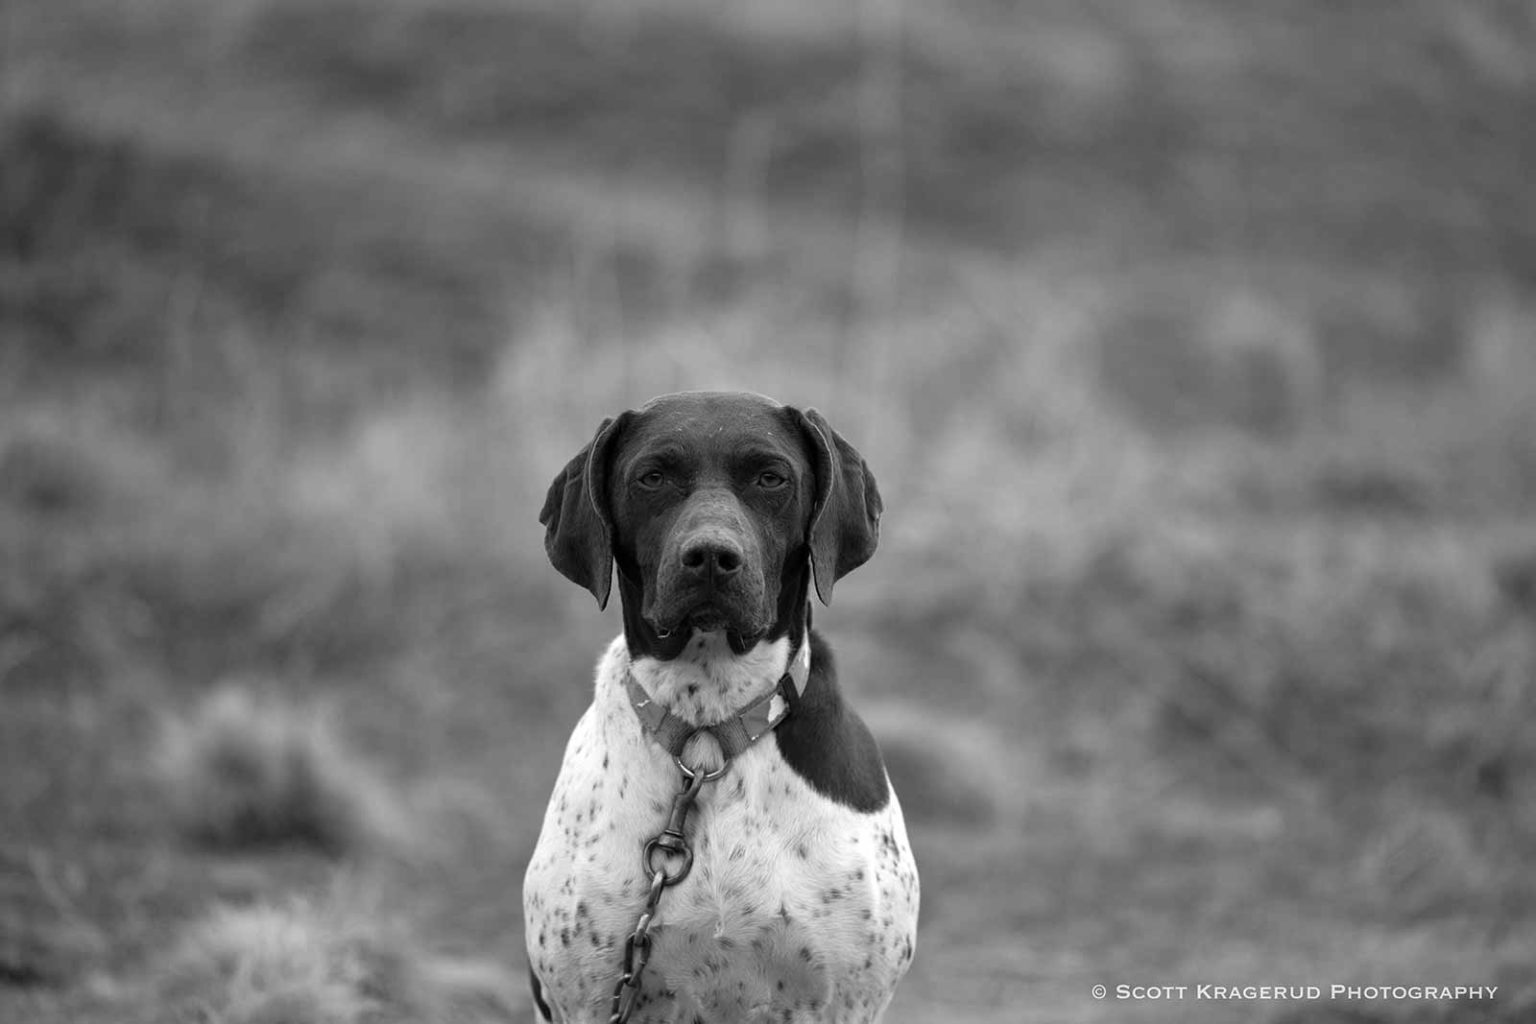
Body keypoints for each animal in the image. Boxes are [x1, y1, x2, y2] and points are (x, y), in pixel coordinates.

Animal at [522, 393, 915, 1024]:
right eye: (652, 478)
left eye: (771, 478)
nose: (709, 556)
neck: (708, 731)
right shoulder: (586, 999)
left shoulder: (845, 1002)